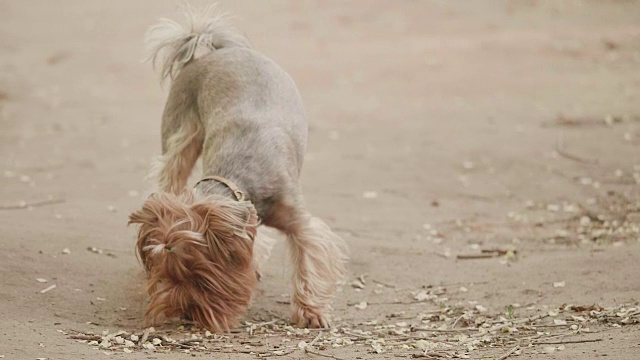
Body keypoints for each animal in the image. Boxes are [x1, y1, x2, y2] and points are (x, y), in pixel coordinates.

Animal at [129, 4, 350, 334]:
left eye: (200, 277)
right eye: (166, 275)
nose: (185, 314)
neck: (235, 181)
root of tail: (212, 51)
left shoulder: (300, 222)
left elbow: (309, 258)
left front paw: (310, 312)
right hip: (180, 138)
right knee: (172, 172)